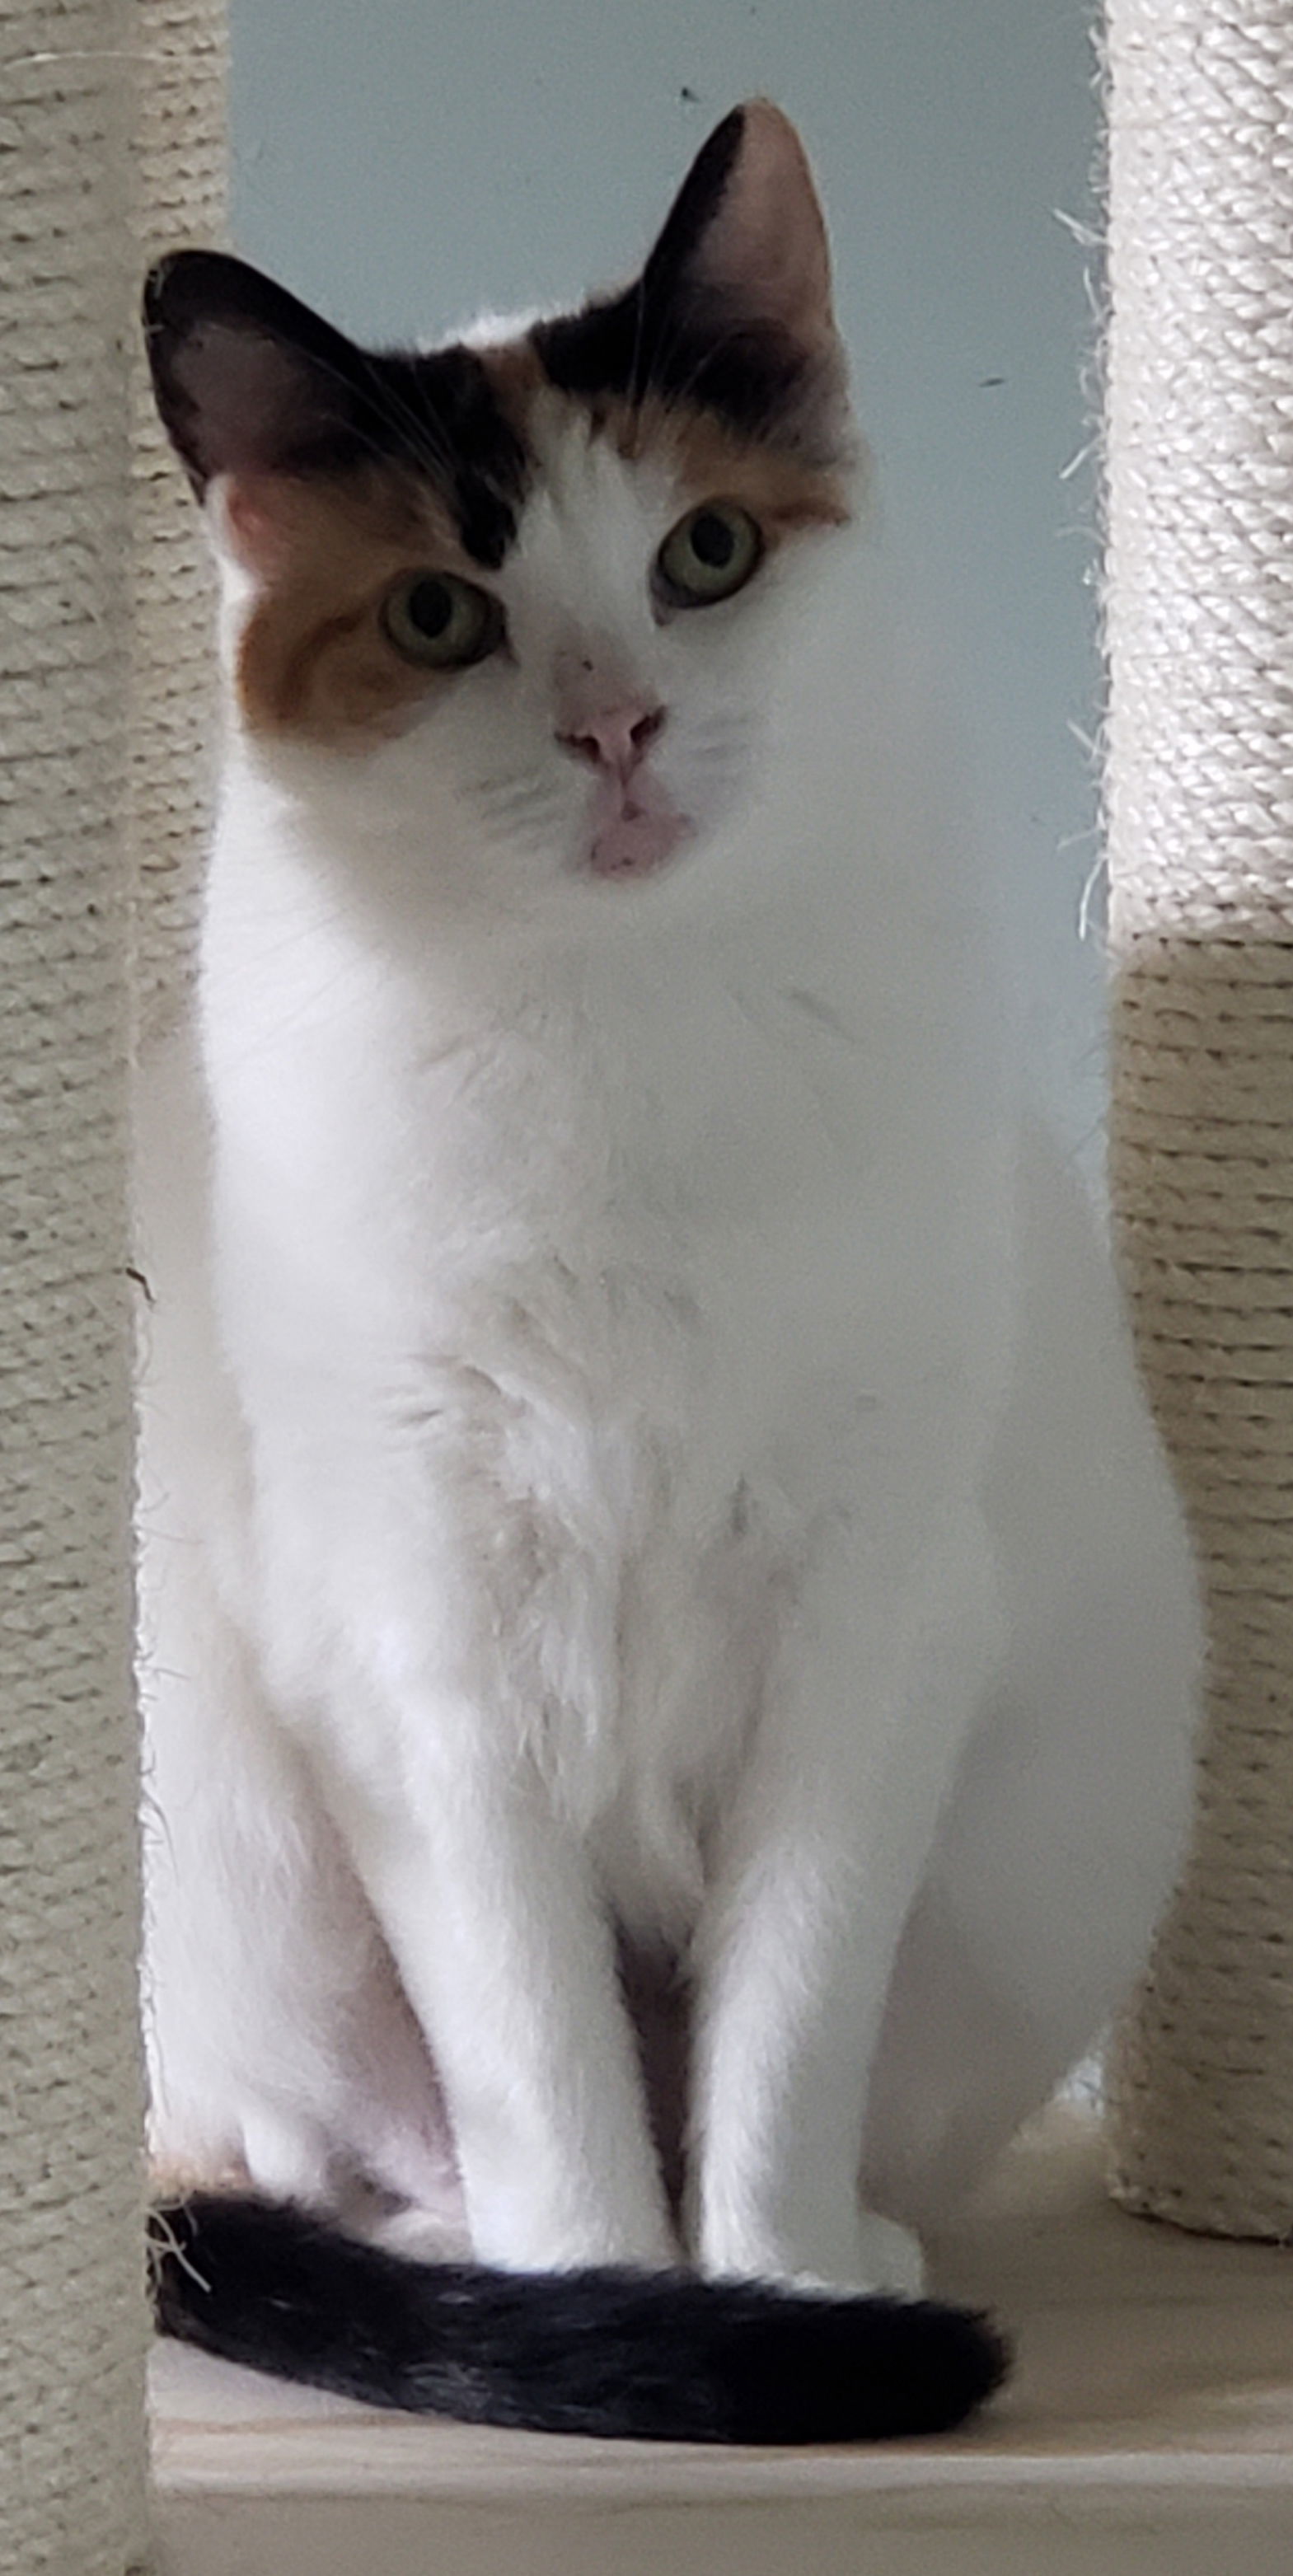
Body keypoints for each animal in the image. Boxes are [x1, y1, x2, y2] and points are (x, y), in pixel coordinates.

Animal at [136, 95, 1195, 2431]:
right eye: (438, 613)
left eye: (702, 556)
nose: (614, 725)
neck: (617, 1041)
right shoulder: (424, 1654)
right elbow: (540, 2056)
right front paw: (617, 2307)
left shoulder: (865, 1612)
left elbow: (779, 2029)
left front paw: (776, 2290)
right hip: (247, 1865)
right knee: (323, 2139)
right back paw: (477, 2255)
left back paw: (855, 2255)